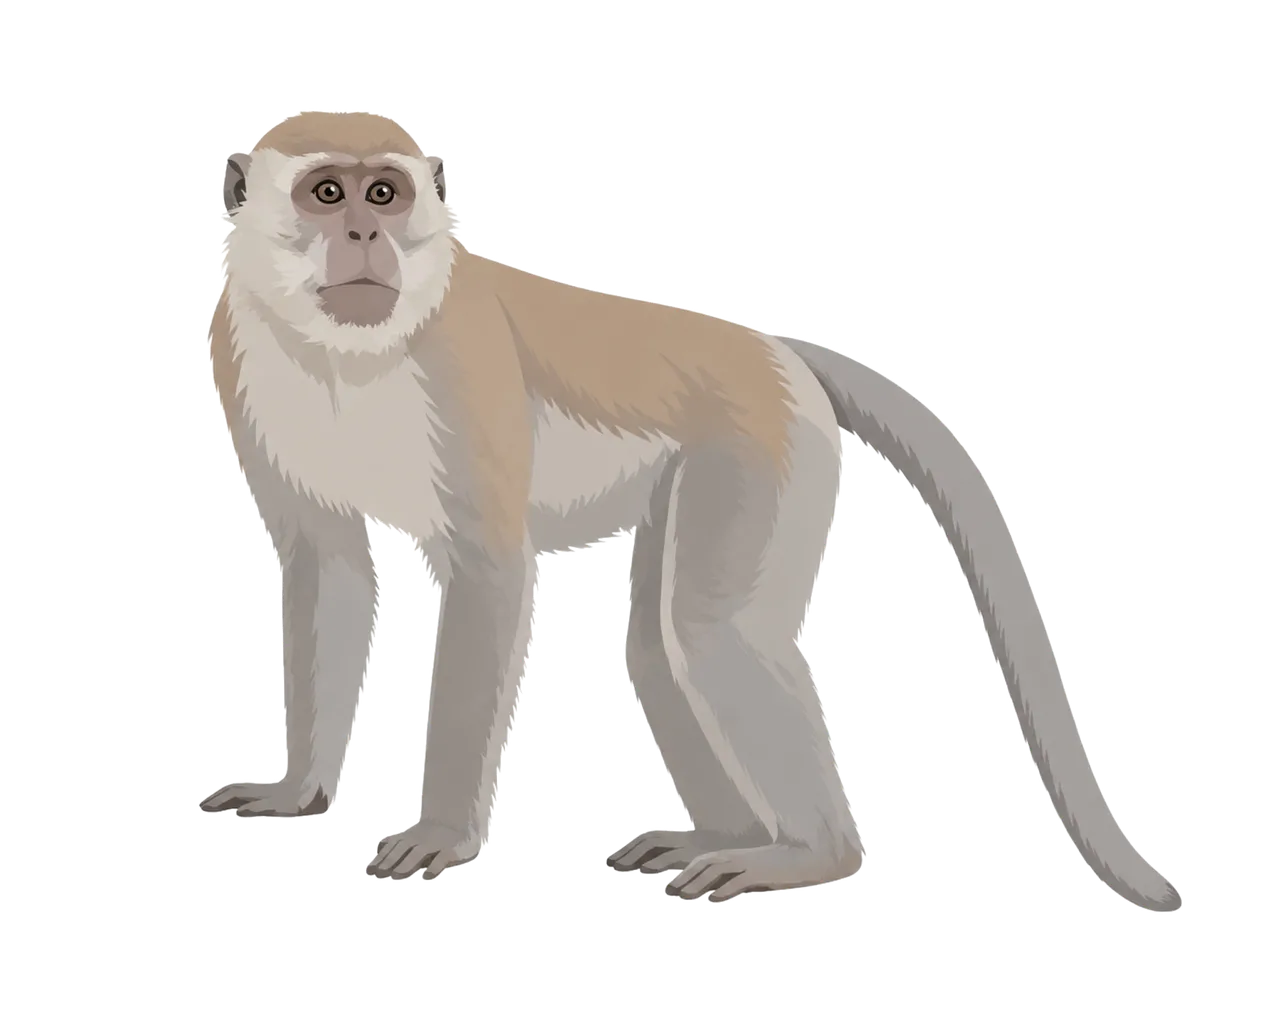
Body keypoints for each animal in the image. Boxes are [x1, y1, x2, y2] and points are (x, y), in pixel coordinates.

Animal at [200, 110, 1183, 913]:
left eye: (383, 193)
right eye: (327, 193)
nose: (365, 231)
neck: (344, 352)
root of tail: (771, 349)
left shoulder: (460, 360)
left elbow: (488, 572)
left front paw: (440, 831)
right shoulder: (239, 358)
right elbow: (327, 567)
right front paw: (297, 792)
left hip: (759, 443)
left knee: (711, 631)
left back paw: (808, 852)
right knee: (667, 644)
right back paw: (730, 833)